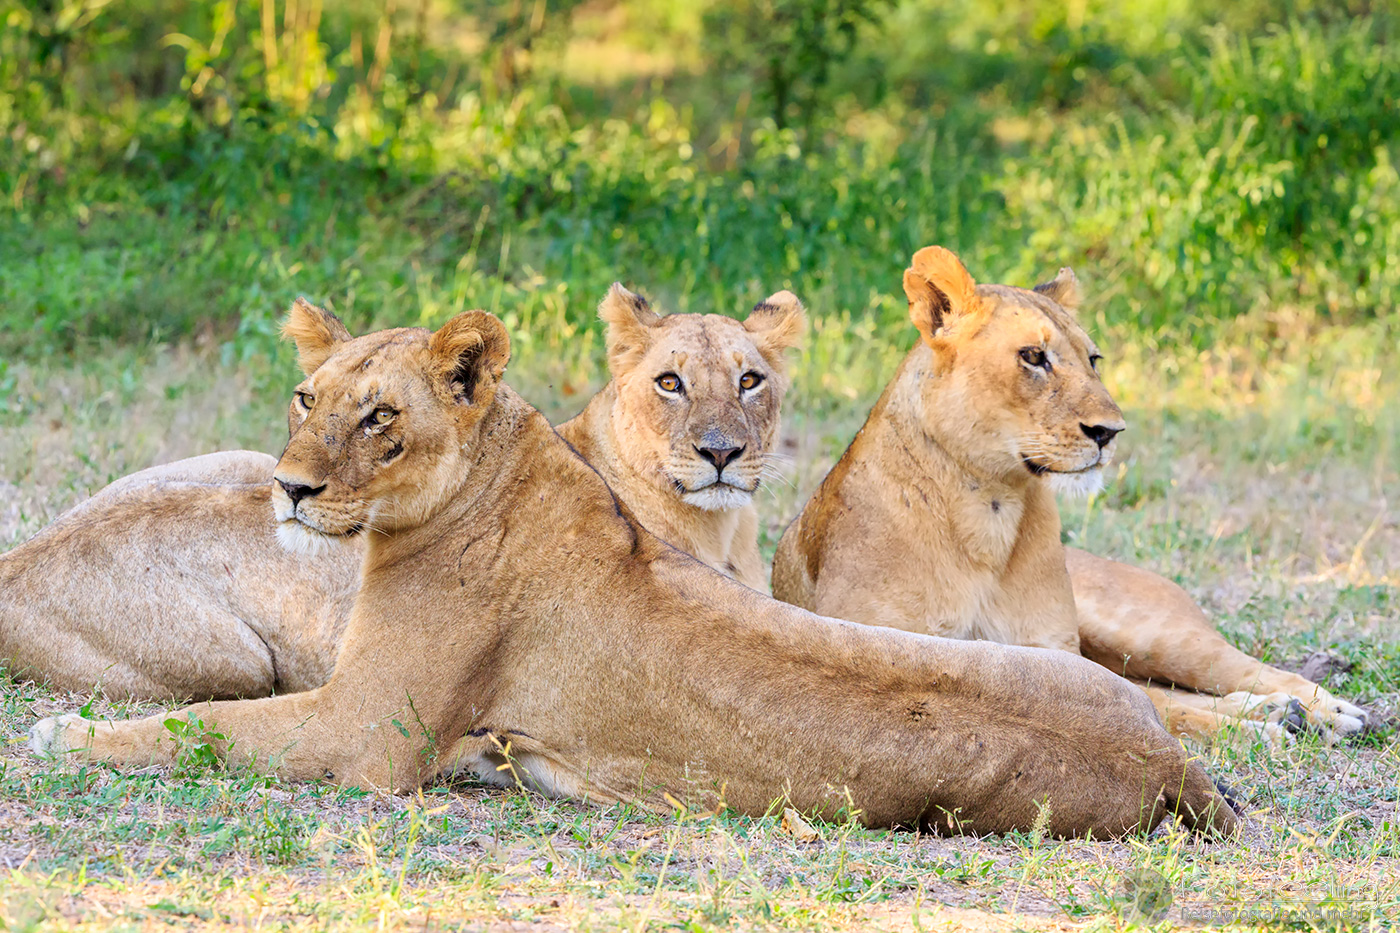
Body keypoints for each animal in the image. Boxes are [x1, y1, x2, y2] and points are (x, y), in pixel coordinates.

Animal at [0, 289, 801, 699]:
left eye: (749, 381)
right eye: (670, 382)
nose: (722, 453)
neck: (720, 525)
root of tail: (16, 560)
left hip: (239, 460)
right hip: (233, 659)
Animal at [771, 245, 1370, 746]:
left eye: (1093, 359)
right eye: (1034, 357)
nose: (1110, 432)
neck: (988, 508)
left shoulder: (1053, 651)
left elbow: (1144, 706)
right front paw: (1258, 727)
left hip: (1150, 632)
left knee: (1230, 671)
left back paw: (1326, 711)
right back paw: (1279, 714)